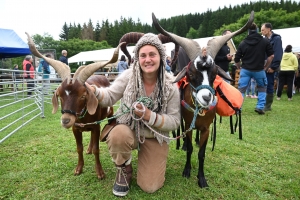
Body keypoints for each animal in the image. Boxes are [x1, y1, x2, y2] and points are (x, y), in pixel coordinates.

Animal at [26, 32, 122, 180]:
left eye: (83, 95)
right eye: (59, 95)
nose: (66, 120)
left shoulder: (96, 126)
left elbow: (97, 149)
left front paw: (100, 172)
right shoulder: (75, 128)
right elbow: (79, 148)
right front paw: (79, 168)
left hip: (109, 113)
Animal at [152, 11, 253, 188]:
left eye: (215, 74)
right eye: (191, 74)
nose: (206, 98)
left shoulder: (206, 128)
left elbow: (201, 153)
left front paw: (201, 178)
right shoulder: (188, 125)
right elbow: (191, 149)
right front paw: (186, 170)